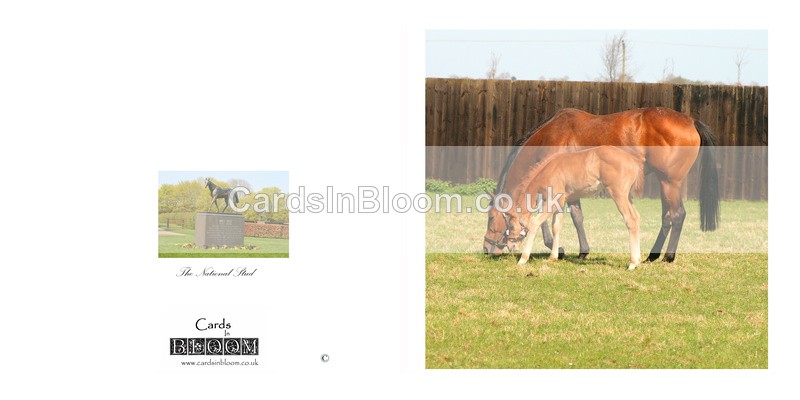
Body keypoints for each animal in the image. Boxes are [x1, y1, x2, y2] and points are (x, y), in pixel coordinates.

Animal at [490, 146, 645, 270]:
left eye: (511, 226)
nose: (511, 246)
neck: (547, 170)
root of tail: (633, 161)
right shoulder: (560, 203)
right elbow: (556, 226)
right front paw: (553, 257)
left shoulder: (551, 201)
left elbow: (535, 223)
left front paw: (523, 259)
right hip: (627, 197)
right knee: (637, 218)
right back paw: (637, 260)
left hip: (618, 195)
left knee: (631, 219)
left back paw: (632, 263)